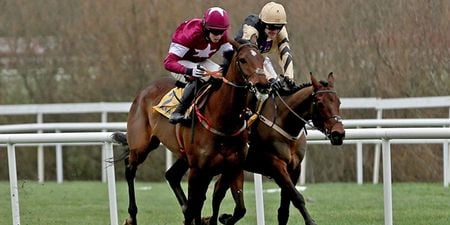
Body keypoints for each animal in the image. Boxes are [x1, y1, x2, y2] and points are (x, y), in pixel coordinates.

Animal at [112, 41, 268, 224]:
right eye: (243, 60)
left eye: (262, 59)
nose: (263, 85)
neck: (224, 122)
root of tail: (143, 92)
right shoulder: (197, 170)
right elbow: (197, 204)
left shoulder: (233, 167)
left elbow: (239, 209)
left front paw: (220, 217)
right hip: (142, 145)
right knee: (130, 168)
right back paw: (131, 216)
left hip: (182, 156)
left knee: (172, 176)